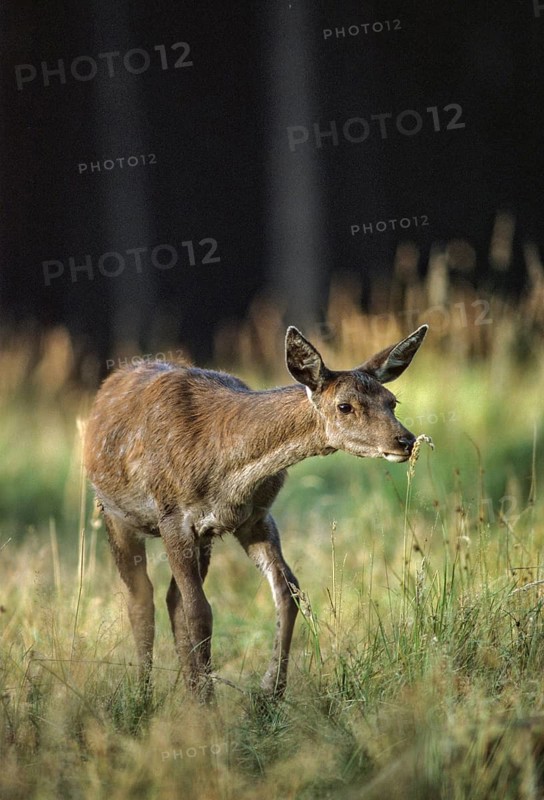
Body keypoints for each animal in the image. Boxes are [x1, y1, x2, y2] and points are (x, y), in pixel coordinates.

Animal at [83, 323, 428, 702]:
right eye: (344, 406)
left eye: (392, 401)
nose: (405, 440)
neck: (227, 471)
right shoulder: (173, 515)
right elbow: (199, 612)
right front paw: (208, 705)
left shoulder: (256, 517)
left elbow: (288, 593)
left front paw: (269, 693)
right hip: (114, 513)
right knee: (141, 598)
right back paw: (145, 695)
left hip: (204, 539)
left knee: (172, 598)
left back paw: (187, 687)